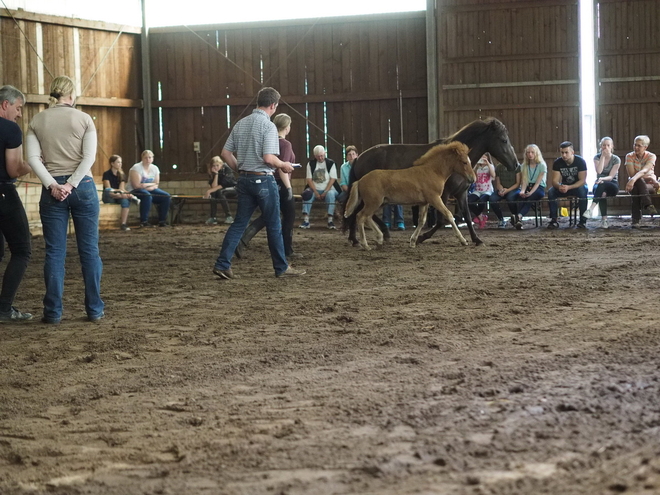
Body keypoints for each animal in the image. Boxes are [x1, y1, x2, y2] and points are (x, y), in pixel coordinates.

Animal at [342, 116, 520, 248]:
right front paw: (421, 237)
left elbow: (467, 216)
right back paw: (363, 238)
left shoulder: (461, 193)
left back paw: (369, 236)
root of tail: (359, 157)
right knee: (358, 213)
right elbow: (442, 219)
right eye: (503, 140)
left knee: (358, 212)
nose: (516, 165)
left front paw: (477, 239)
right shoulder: (443, 194)